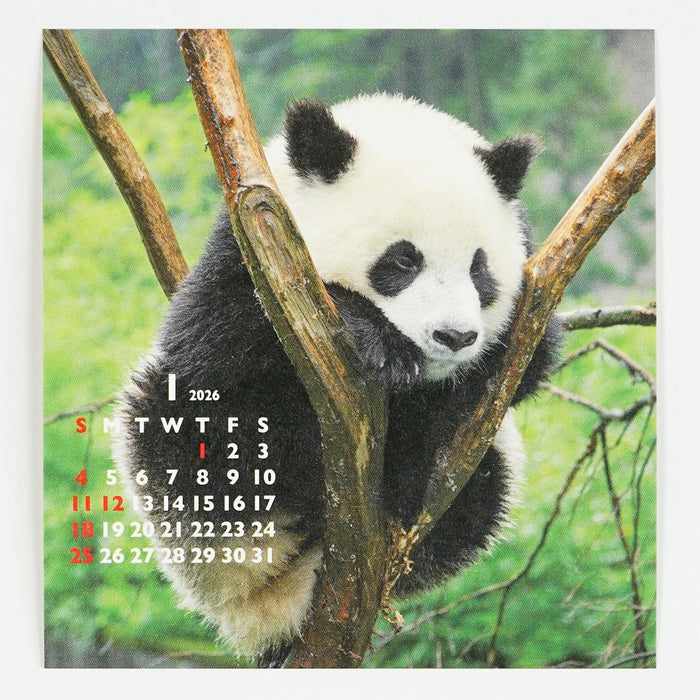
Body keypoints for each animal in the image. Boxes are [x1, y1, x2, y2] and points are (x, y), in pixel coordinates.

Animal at [113, 93, 561, 664]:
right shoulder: (254, 248)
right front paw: (375, 336)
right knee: (189, 430)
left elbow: (526, 365)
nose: (454, 336)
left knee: (483, 488)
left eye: (479, 269)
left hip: (486, 468)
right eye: (402, 261)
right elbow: (216, 343)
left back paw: (403, 481)